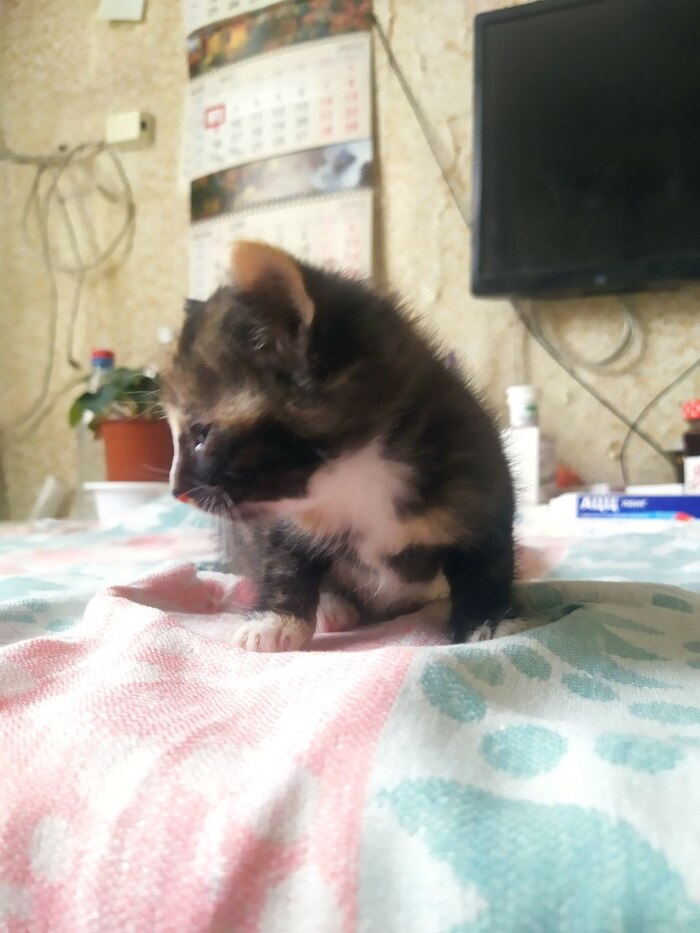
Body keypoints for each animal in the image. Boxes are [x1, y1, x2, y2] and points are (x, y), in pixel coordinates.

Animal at [163, 240, 515, 651]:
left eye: (201, 435)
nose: (176, 491)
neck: (355, 476)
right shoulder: (277, 522)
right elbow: (282, 561)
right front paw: (275, 621)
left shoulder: (479, 476)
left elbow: (486, 560)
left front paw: (486, 623)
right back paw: (333, 607)